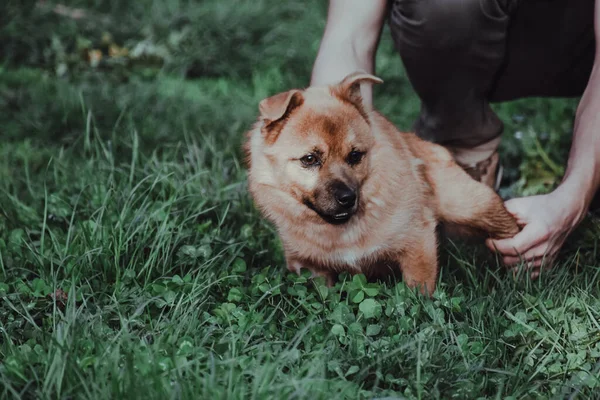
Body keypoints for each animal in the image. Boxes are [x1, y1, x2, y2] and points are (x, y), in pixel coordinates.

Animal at [244, 72, 520, 296]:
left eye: (355, 155)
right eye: (309, 159)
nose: (348, 198)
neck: (343, 231)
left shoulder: (417, 245)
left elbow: (418, 293)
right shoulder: (311, 267)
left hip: (471, 205)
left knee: (508, 228)